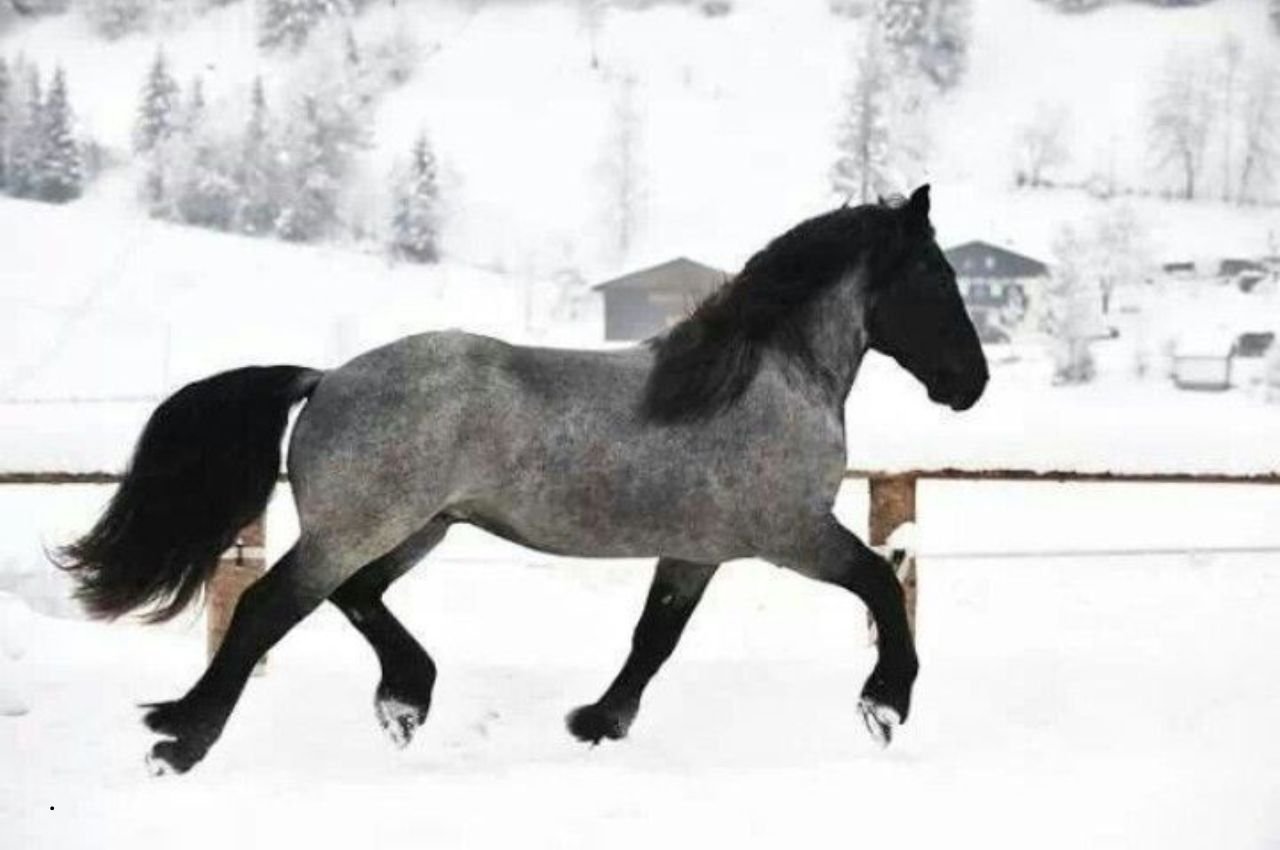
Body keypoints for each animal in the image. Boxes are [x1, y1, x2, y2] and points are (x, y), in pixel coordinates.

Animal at [58, 185, 987, 775]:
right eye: (938, 277)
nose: (971, 383)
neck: (763, 379)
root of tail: (324, 379)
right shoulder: (792, 533)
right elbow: (879, 584)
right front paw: (885, 705)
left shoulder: (695, 552)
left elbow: (653, 639)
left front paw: (597, 723)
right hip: (361, 527)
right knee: (266, 609)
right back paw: (180, 740)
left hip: (420, 527)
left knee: (355, 596)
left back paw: (405, 700)